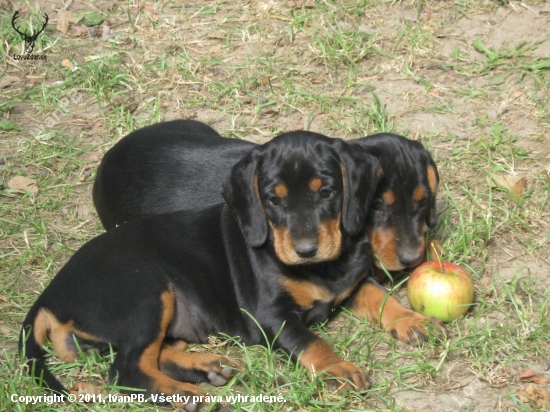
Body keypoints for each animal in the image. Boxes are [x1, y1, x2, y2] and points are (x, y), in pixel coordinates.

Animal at [21, 131, 446, 408]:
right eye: (273, 200)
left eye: (327, 192)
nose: (306, 250)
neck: (326, 266)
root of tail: (50, 294)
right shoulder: (269, 315)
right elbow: (312, 342)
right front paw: (337, 369)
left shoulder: (348, 282)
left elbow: (377, 295)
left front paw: (411, 321)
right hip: (145, 293)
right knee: (126, 370)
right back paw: (189, 395)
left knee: (155, 354)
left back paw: (211, 366)